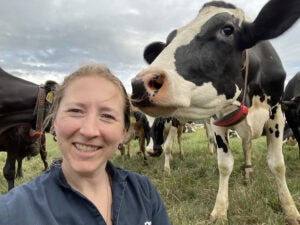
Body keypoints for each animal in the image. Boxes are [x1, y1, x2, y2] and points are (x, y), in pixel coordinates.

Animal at [131, 0, 300, 222]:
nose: (140, 84)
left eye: (227, 30)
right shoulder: (218, 119)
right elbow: (225, 164)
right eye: (168, 41)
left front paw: (290, 209)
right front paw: (220, 210)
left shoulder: (277, 112)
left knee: (247, 147)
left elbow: (277, 164)